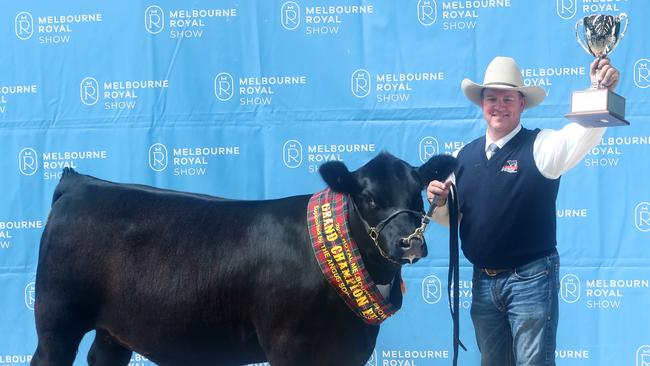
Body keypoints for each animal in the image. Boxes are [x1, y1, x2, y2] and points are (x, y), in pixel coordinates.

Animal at [31, 152, 456, 366]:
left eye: (418, 191)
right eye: (366, 196)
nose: (409, 243)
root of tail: (80, 183)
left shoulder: (352, 350)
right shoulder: (290, 346)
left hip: (115, 328)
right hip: (57, 319)